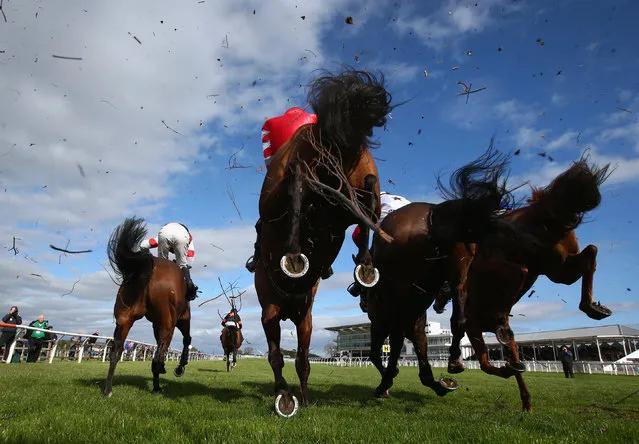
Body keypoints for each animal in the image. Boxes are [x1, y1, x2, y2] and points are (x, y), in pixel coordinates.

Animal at [102, 219, 191, 396]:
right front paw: (180, 367)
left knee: (116, 351)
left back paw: (108, 390)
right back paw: (159, 381)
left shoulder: (155, 323)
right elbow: (187, 339)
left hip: (124, 318)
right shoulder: (183, 318)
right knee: (159, 355)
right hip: (168, 323)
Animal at [364, 145, 536, 398]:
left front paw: (388, 381)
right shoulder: (413, 314)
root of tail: (436, 213)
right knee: (459, 318)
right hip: (458, 270)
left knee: (396, 342)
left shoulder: (386, 318)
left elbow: (382, 352)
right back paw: (458, 361)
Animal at [444, 154, 616, 412]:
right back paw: (591, 307)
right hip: (557, 268)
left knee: (530, 270)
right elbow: (497, 362)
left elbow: (488, 362)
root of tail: (539, 210)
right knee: (589, 253)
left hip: (541, 266)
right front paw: (524, 396)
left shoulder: (475, 327)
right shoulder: (484, 329)